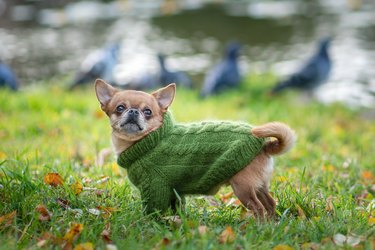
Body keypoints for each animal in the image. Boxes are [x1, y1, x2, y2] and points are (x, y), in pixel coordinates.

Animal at [94, 78, 296, 217]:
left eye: (148, 112)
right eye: (120, 108)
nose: (134, 111)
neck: (149, 140)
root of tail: (265, 145)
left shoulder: (155, 187)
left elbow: (153, 210)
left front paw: (149, 222)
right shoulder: (174, 191)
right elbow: (177, 208)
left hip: (243, 187)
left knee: (259, 208)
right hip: (259, 186)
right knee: (270, 204)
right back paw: (272, 225)